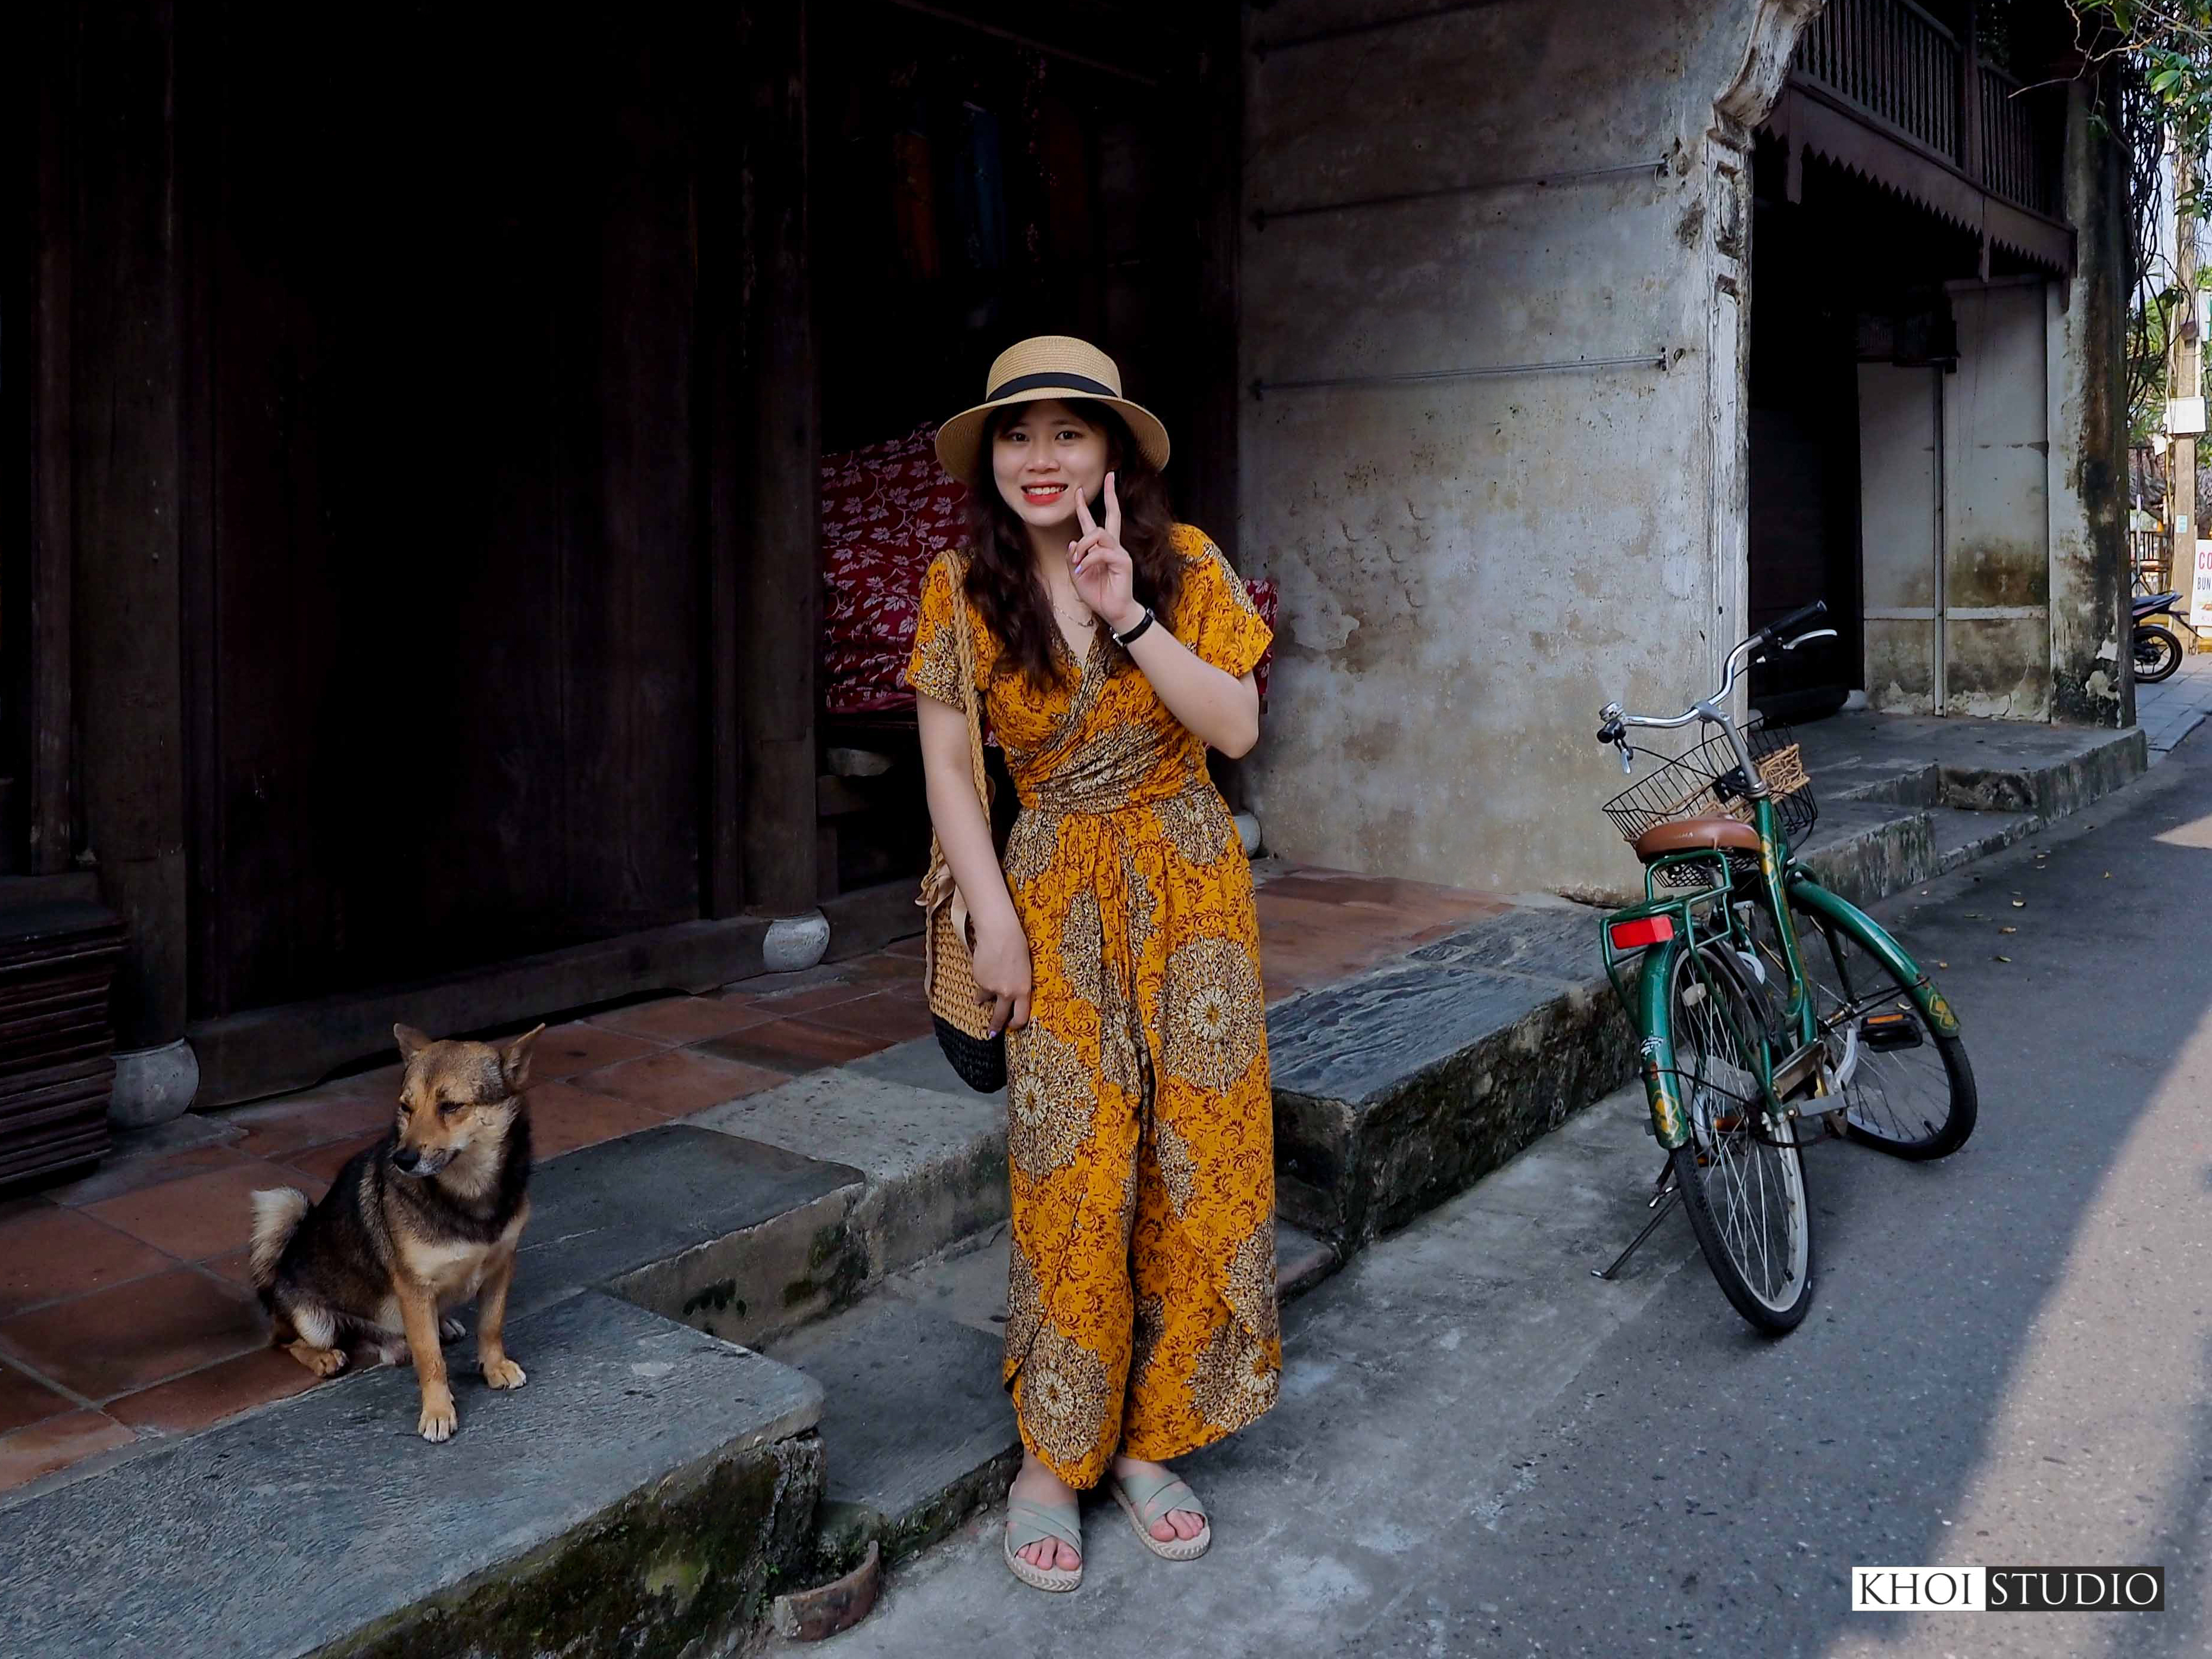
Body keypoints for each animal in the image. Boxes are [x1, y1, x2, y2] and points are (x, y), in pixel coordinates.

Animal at [249, 1026, 542, 1442]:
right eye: (406, 1107)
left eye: (451, 1106)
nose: (402, 1160)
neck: (466, 1194)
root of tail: (277, 1272)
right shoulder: (413, 1288)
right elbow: (431, 1359)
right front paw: (438, 1411)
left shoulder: (501, 1267)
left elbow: (491, 1325)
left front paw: (494, 1366)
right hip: (313, 1322)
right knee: (287, 1342)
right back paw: (324, 1357)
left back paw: (443, 1323)